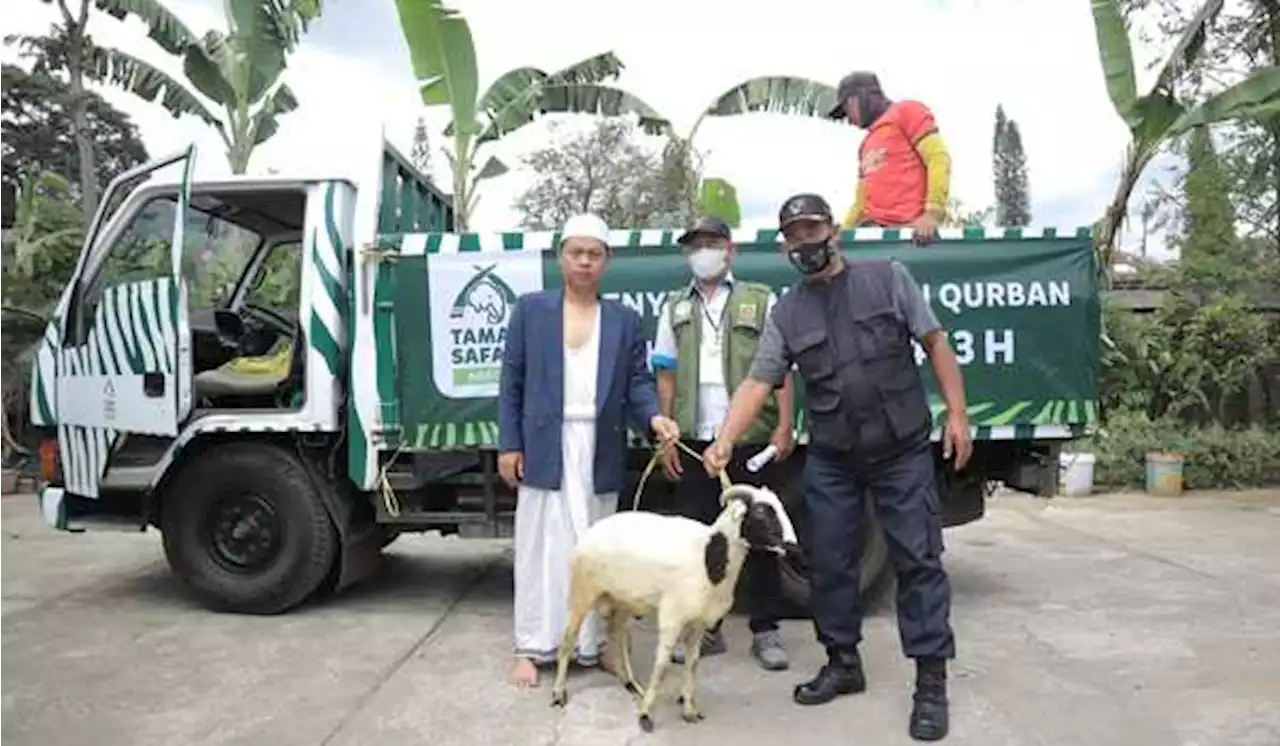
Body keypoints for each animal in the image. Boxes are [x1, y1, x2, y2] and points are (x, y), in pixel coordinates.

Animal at [545, 483, 783, 737]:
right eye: (760, 512)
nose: (789, 545)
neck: (709, 558)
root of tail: (593, 529)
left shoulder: (699, 620)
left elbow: (693, 661)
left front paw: (689, 708)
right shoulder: (672, 615)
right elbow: (661, 664)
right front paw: (645, 715)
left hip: (624, 600)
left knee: (617, 634)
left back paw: (631, 684)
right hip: (583, 591)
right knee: (568, 640)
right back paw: (558, 693)